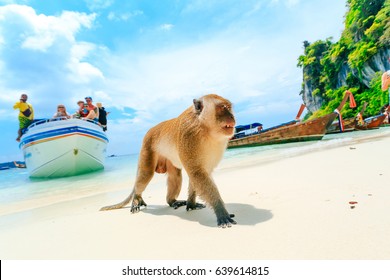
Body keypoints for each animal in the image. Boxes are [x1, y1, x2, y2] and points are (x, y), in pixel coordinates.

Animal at [99, 94, 236, 228]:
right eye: (222, 108)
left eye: (229, 107)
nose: (232, 116)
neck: (206, 129)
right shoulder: (189, 135)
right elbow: (197, 173)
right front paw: (221, 211)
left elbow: (197, 174)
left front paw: (191, 204)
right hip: (147, 148)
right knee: (146, 174)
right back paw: (136, 198)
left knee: (175, 176)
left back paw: (172, 201)